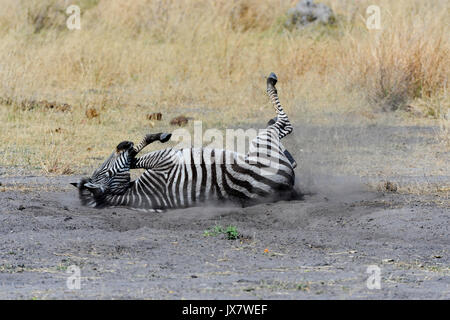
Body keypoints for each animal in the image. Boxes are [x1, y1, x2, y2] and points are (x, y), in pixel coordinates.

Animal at [72, 72, 300, 210]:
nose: (121, 144)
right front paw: (158, 136)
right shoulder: (164, 159)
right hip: (264, 143)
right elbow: (135, 155)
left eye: (102, 168)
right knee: (285, 125)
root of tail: (287, 184)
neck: (132, 193)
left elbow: (134, 158)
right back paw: (271, 82)